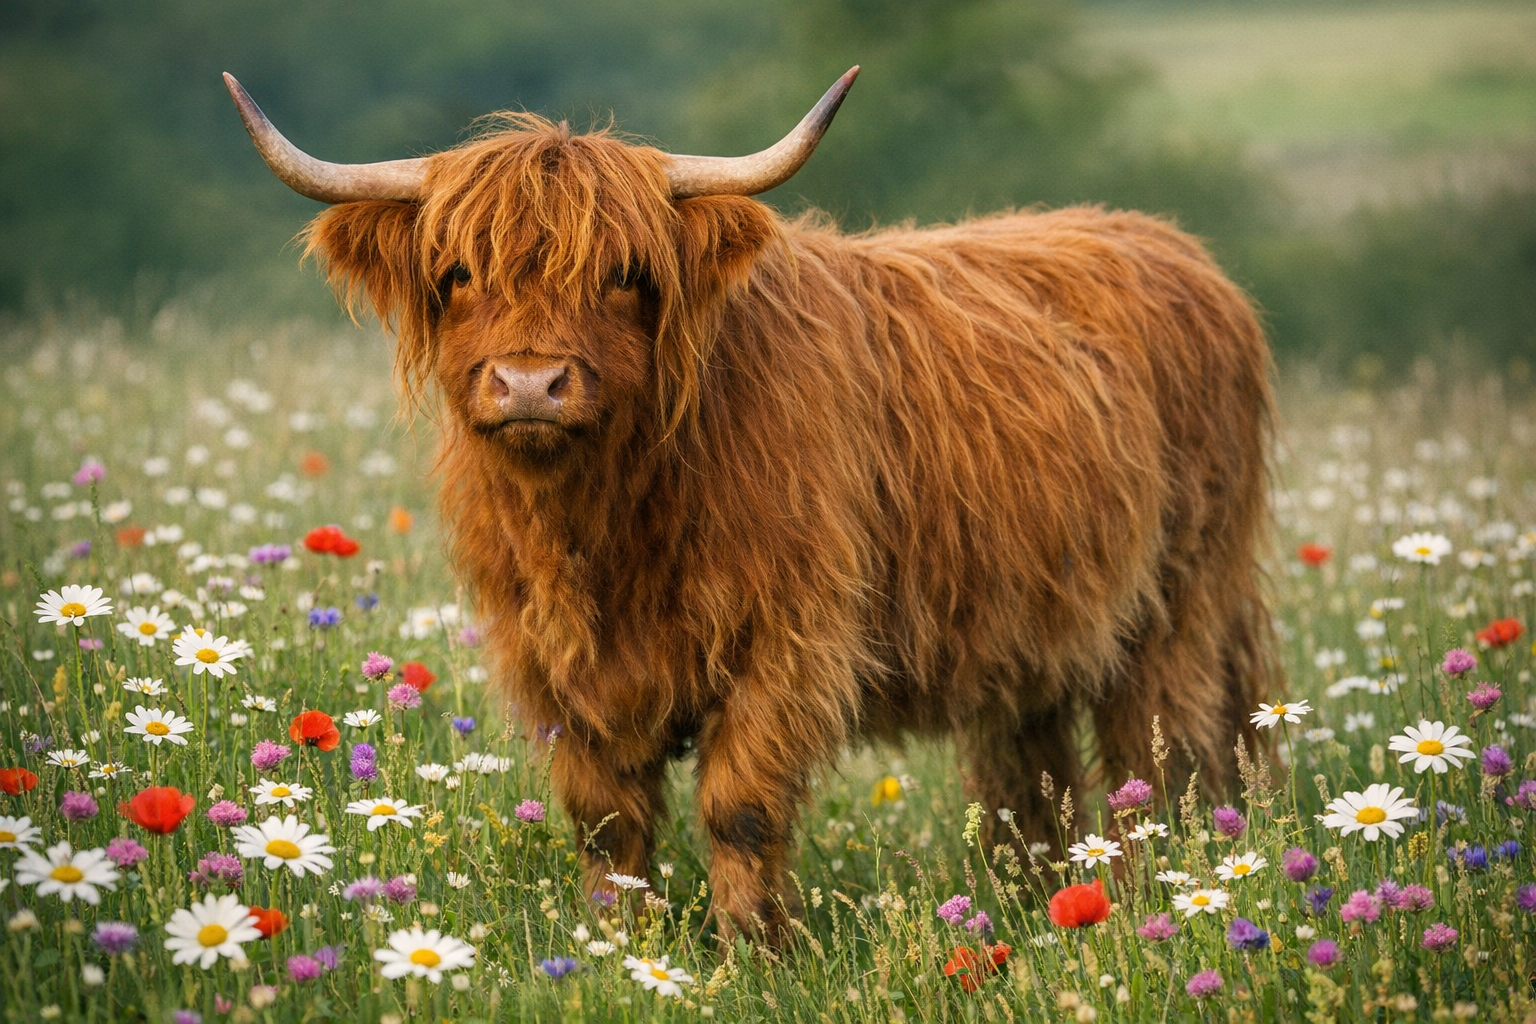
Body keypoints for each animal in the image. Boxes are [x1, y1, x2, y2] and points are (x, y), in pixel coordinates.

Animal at [225, 67, 1277, 939]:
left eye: (623, 275)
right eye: (456, 275)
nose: (531, 383)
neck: (603, 528)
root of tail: (1173, 247)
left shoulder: (787, 640)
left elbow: (740, 810)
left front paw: (750, 957)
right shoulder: (548, 658)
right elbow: (606, 823)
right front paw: (619, 949)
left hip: (1178, 607)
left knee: (1161, 763)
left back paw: (1156, 903)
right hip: (1031, 636)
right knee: (1032, 779)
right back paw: (1042, 900)